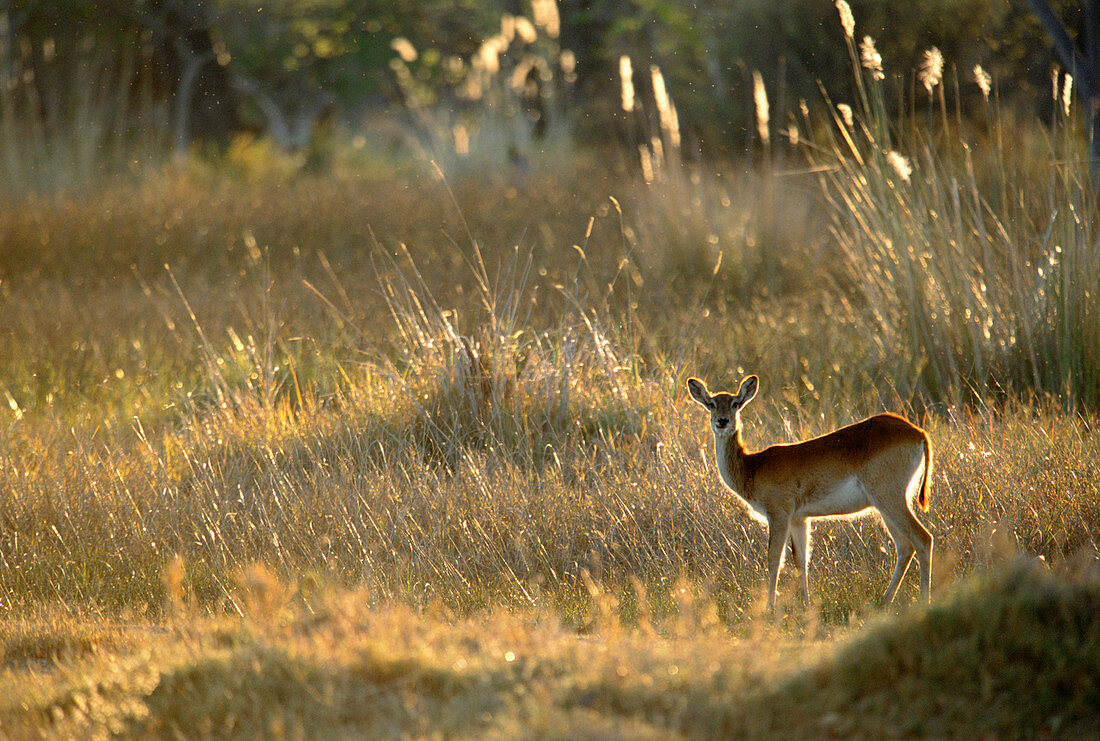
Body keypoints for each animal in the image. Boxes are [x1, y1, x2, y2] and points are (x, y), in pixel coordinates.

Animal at [690, 371, 932, 606]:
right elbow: (801, 560)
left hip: (890, 499)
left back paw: (924, 601)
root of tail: (919, 433)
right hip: (886, 506)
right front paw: (806, 605)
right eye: (711, 403)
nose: (722, 421)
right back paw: (884, 602)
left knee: (923, 539)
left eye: (735, 403)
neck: (753, 466)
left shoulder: (779, 514)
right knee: (905, 547)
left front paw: (770, 608)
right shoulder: (800, 519)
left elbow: (774, 559)